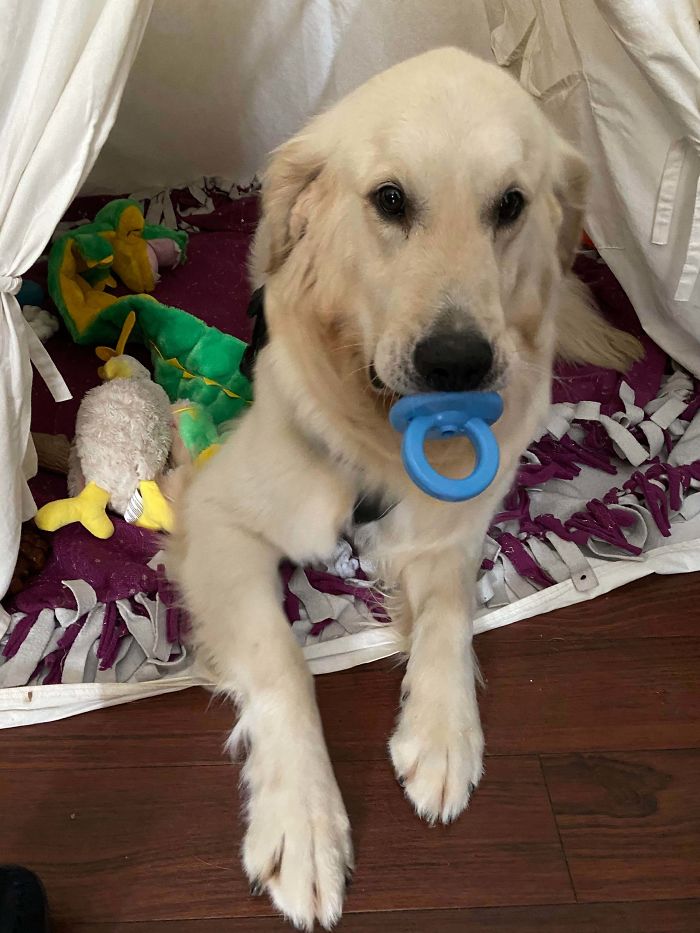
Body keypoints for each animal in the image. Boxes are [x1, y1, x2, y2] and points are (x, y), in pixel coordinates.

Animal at [168, 47, 640, 928]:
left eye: (510, 204)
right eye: (390, 200)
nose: (456, 364)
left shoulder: (447, 533)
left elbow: (452, 607)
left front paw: (444, 729)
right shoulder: (218, 520)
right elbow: (283, 659)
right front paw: (303, 821)